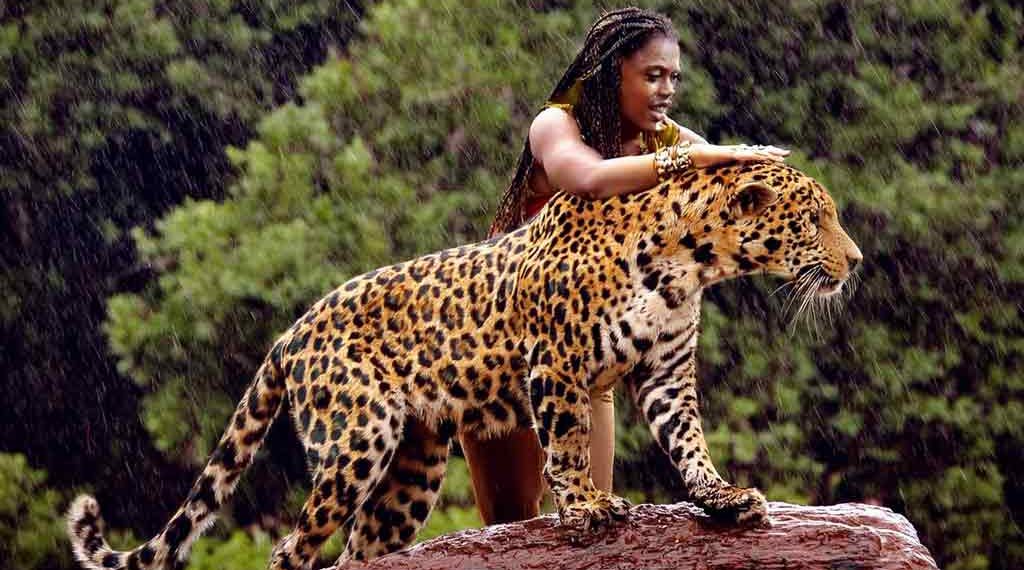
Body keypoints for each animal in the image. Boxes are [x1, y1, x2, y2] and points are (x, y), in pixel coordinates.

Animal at [67, 160, 862, 570]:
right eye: (814, 218)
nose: (855, 262)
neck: (690, 263)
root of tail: (289, 332)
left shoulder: (666, 372)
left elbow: (688, 440)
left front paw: (723, 498)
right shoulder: (556, 365)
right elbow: (568, 445)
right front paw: (588, 508)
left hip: (412, 469)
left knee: (360, 550)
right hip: (357, 442)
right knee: (294, 545)